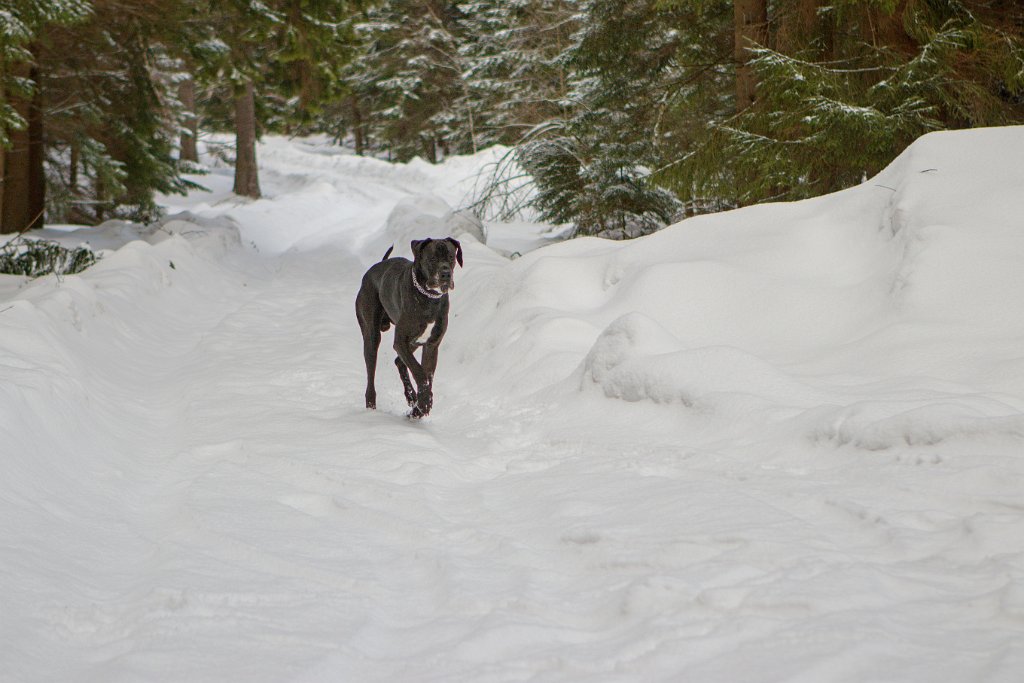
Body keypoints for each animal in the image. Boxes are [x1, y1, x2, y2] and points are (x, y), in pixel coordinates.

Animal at [354, 237, 462, 417]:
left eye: (451, 257)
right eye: (432, 259)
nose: (446, 273)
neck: (429, 297)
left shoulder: (431, 345)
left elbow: (426, 375)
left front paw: (419, 408)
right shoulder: (401, 341)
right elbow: (419, 373)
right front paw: (424, 403)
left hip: (414, 342)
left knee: (399, 361)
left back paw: (411, 398)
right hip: (371, 336)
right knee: (371, 375)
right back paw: (371, 406)